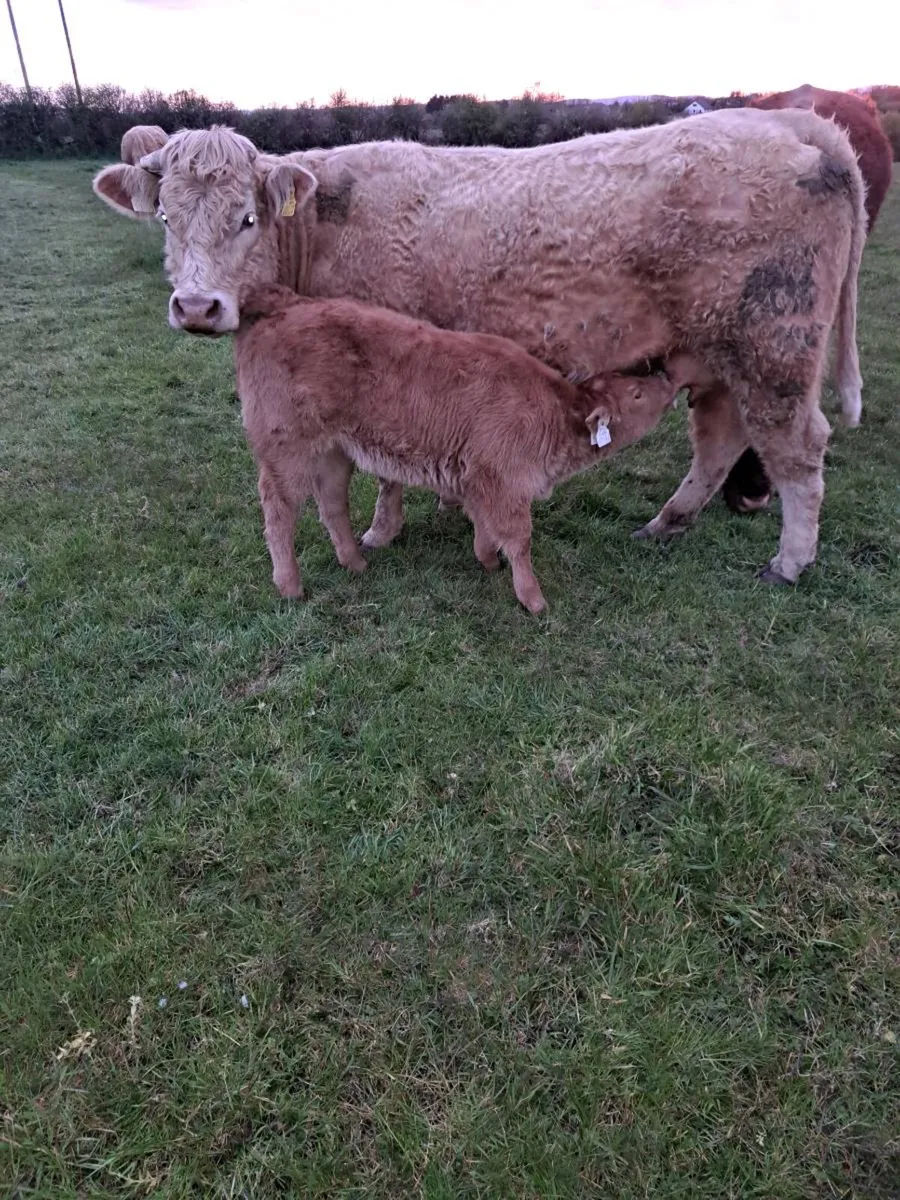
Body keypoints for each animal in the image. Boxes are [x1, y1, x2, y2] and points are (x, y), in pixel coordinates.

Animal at [235, 286, 687, 612]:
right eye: (636, 394)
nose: (667, 377)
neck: (552, 410)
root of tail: (287, 304)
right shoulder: (504, 480)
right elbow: (519, 539)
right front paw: (534, 599)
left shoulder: (481, 479)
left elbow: (486, 527)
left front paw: (487, 561)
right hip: (287, 447)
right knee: (279, 511)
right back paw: (290, 586)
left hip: (334, 450)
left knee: (331, 503)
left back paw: (355, 563)